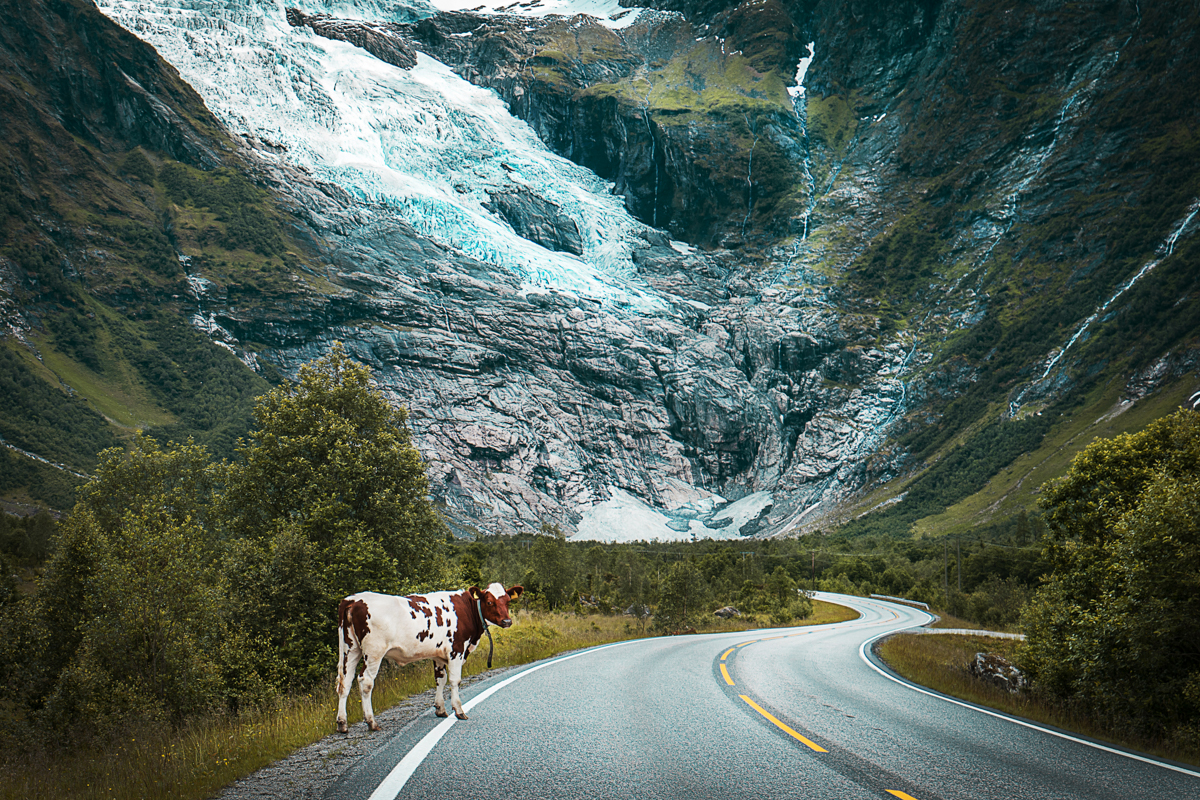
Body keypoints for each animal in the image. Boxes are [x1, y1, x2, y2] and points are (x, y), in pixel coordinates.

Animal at [338, 582, 525, 734]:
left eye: (507, 601)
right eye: (489, 602)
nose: (507, 621)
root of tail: (354, 599)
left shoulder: (439, 655)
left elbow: (440, 679)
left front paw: (440, 709)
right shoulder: (456, 650)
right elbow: (455, 680)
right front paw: (459, 710)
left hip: (350, 648)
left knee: (344, 681)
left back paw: (342, 723)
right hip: (373, 651)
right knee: (365, 681)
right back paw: (371, 722)